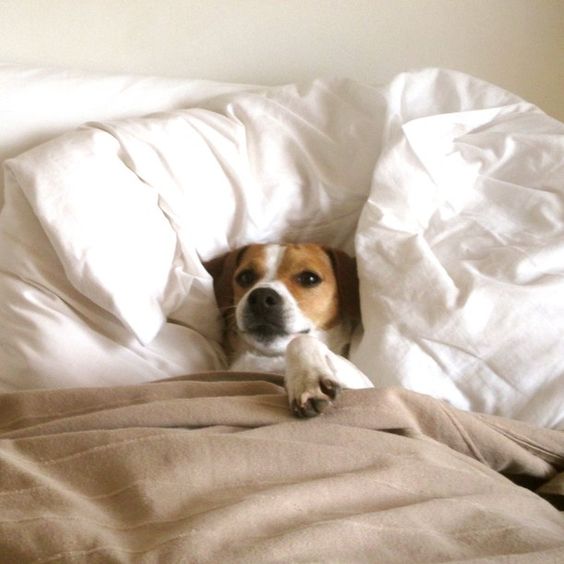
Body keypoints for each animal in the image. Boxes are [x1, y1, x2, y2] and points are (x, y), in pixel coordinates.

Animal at [204, 245, 374, 416]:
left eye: (310, 278)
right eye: (245, 276)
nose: (261, 298)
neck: (271, 357)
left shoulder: (366, 384)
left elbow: (301, 340)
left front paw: (308, 379)